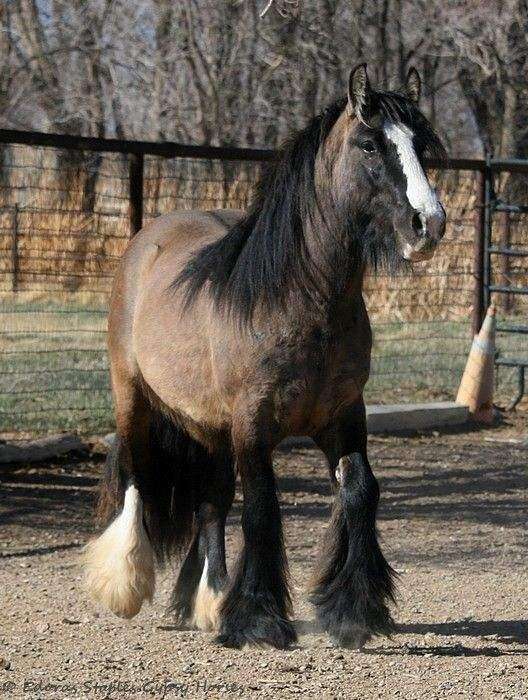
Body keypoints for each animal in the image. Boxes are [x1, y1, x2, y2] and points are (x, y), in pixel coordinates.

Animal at [84, 65, 448, 652]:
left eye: (421, 145)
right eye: (370, 143)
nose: (429, 224)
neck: (298, 300)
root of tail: (147, 239)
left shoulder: (343, 417)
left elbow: (360, 491)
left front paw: (352, 611)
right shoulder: (253, 426)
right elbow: (261, 508)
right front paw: (259, 619)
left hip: (209, 426)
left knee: (210, 501)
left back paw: (211, 602)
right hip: (133, 397)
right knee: (137, 474)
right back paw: (127, 585)